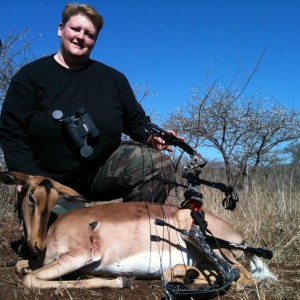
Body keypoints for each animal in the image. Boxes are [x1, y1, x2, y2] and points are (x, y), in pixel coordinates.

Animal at [0, 172, 276, 292]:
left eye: (53, 197)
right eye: (31, 197)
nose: (36, 244)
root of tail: (239, 237)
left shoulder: (81, 256)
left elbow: (29, 279)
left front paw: (121, 280)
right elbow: (22, 267)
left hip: (197, 236)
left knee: (241, 277)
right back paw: (184, 274)